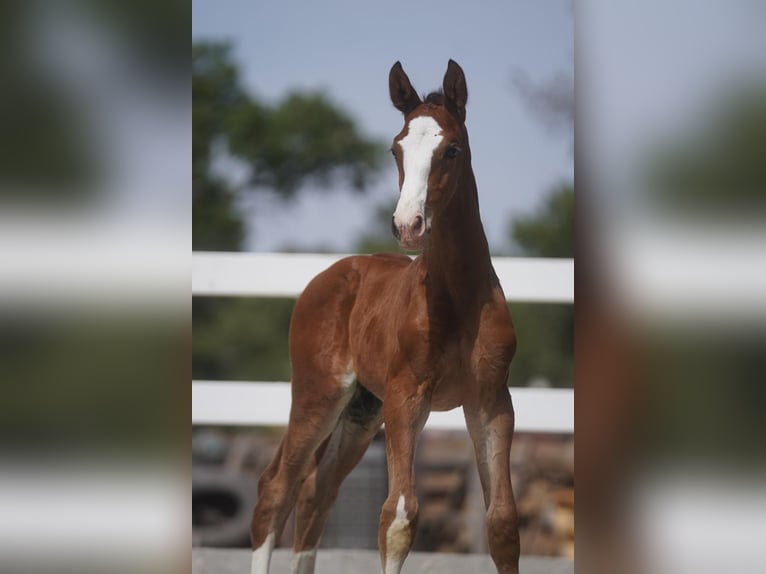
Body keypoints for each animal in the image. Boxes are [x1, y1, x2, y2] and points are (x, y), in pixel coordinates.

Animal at [252, 60, 520, 572]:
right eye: (396, 149)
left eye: (451, 149)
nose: (408, 226)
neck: (457, 296)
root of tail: (328, 276)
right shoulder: (406, 398)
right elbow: (398, 517)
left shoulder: (491, 401)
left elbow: (502, 523)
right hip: (319, 395)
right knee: (276, 488)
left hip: (360, 412)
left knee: (316, 494)